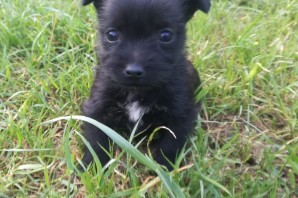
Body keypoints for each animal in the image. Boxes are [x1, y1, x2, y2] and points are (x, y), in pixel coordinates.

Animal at [81, 0, 210, 170]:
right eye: (112, 35)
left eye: (166, 36)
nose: (134, 71)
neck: (138, 91)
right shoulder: (97, 108)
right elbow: (96, 140)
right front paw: (92, 166)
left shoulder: (181, 115)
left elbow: (171, 144)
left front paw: (163, 168)